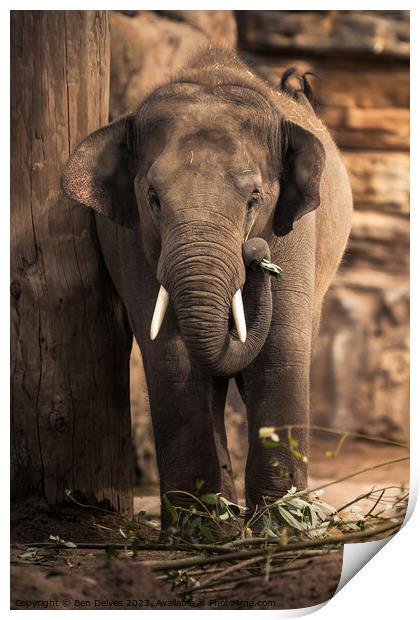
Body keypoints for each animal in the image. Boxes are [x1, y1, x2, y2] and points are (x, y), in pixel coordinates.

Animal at [61, 47, 352, 528]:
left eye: (254, 199)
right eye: (154, 199)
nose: (256, 255)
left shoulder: (295, 232)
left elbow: (280, 350)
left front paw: (281, 524)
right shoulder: (133, 241)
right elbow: (170, 356)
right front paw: (198, 528)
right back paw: (223, 516)